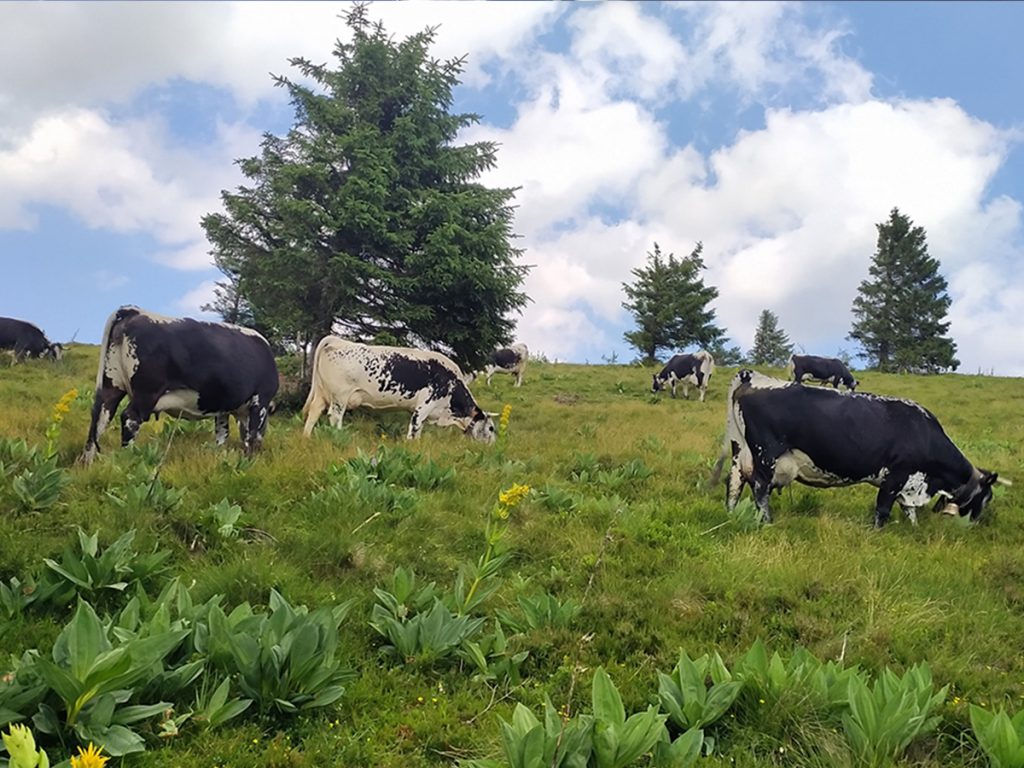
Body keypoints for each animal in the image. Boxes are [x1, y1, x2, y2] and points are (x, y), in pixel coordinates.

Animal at [81, 305, 278, 462]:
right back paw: (128, 459)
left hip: (111, 385)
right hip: (146, 392)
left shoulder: (223, 409)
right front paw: (249, 462)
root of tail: (135, 311)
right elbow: (252, 436)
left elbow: (223, 436)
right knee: (130, 418)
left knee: (99, 420)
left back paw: (86, 464)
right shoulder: (261, 399)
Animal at [301, 335, 497, 444]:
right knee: (335, 417)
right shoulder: (424, 406)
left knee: (314, 413)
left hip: (322, 394)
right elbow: (414, 429)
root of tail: (338, 340)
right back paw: (339, 436)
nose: (493, 446)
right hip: (340, 397)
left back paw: (307, 437)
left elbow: (419, 431)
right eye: (491, 428)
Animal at [720, 368, 999, 528]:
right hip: (766, 454)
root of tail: (754, 377)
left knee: (734, 483)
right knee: (759, 487)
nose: (976, 524)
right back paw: (767, 522)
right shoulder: (896, 476)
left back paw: (731, 515)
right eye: (987, 497)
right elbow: (883, 510)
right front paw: (878, 533)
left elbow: (908, 511)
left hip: (740, 451)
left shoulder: (910, 483)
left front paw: (915, 531)